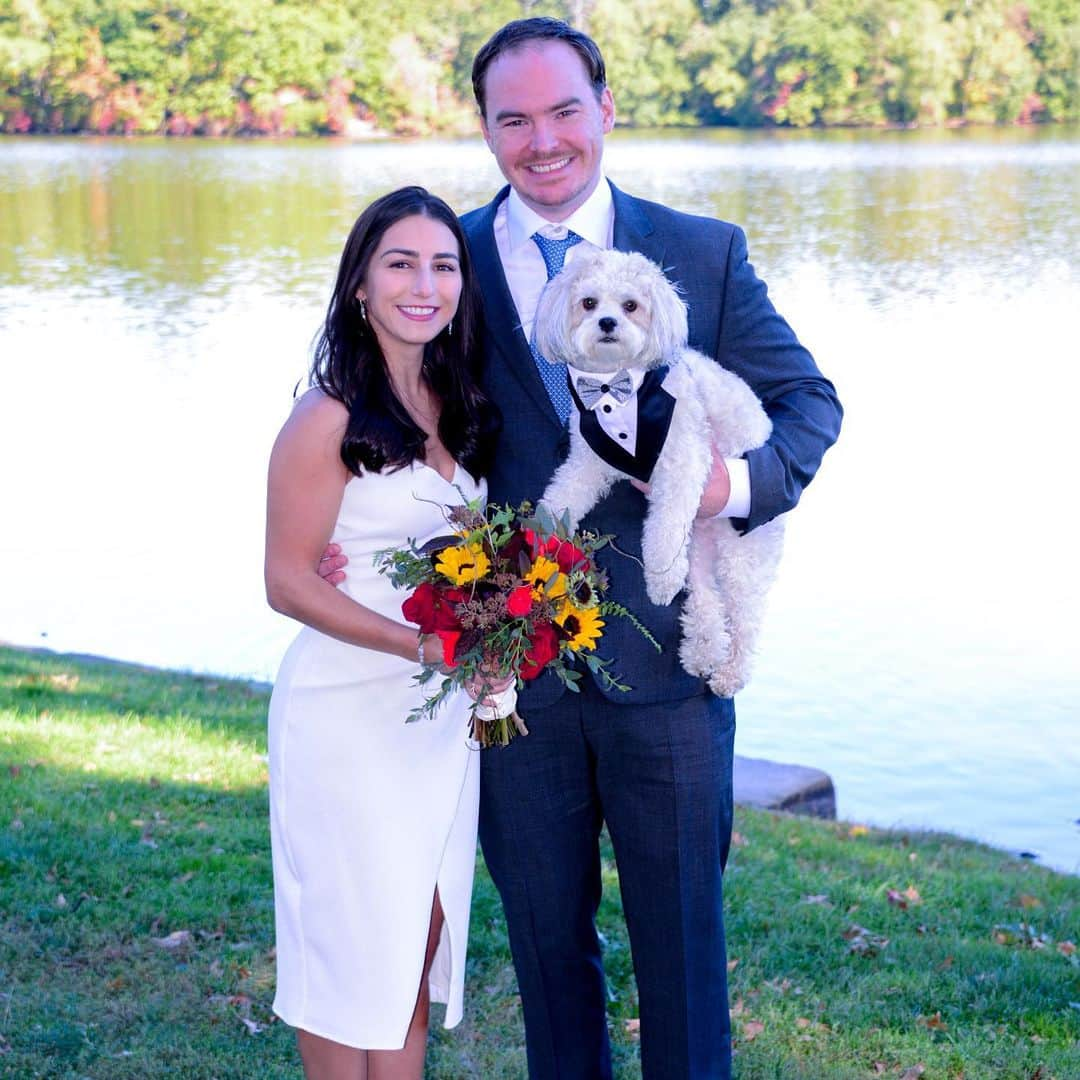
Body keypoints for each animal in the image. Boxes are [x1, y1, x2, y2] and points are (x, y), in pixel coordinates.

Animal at [537, 247, 786, 695]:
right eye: (588, 303)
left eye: (631, 305)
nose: (607, 323)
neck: (617, 389)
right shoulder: (587, 460)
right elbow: (564, 493)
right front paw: (541, 529)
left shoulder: (682, 465)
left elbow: (664, 529)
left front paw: (659, 578)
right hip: (700, 552)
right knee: (705, 604)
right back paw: (701, 655)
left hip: (742, 556)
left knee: (745, 620)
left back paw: (730, 673)